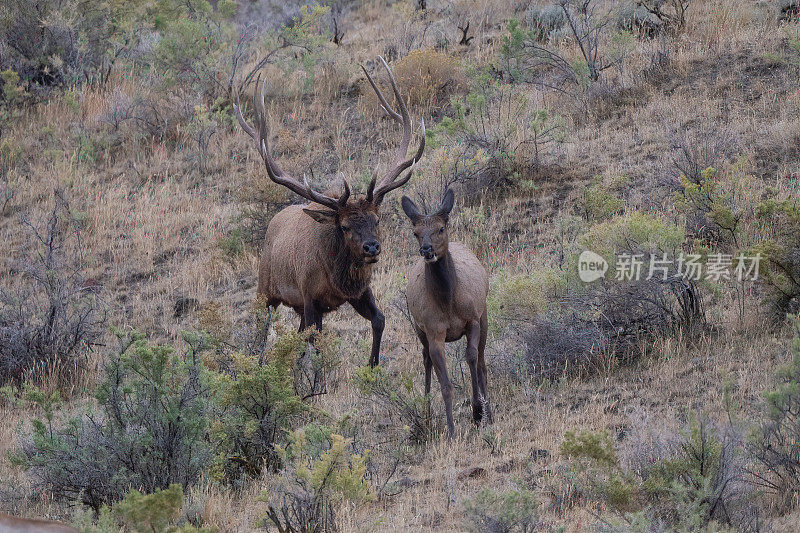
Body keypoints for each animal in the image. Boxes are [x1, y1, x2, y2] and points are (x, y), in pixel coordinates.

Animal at [233, 58, 424, 366]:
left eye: (377, 219)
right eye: (344, 226)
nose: (372, 247)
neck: (338, 279)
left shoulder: (359, 292)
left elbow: (380, 320)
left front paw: (372, 366)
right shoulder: (310, 296)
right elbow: (316, 343)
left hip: (299, 306)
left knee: (298, 336)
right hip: (266, 288)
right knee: (262, 329)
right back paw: (258, 363)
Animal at [404, 189, 490, 438]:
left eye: (441, 228)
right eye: (416, 232)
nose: (426, 250)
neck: (448, 302)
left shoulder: (472, 319)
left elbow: (471, 358)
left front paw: (478, 411)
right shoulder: (434, 332)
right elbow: (445, 385)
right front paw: (451, 430)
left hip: (484, 315)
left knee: (482, 361)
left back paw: (489, 411)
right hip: (419, 329)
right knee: (425, 360)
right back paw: (427, 416)